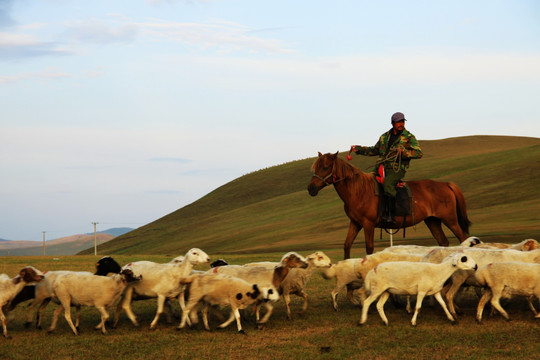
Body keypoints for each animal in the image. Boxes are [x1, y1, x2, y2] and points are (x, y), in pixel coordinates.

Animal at [306, 152, 470, 258]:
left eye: (325, 167)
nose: (311, 188)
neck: (358, 191)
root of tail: (446, 184)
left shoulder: (368, 224)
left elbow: (369, 248)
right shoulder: (355, 223)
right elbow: (347, 246)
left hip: (450, 220)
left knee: (464, 238)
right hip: (432, 221)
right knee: (443, 242)